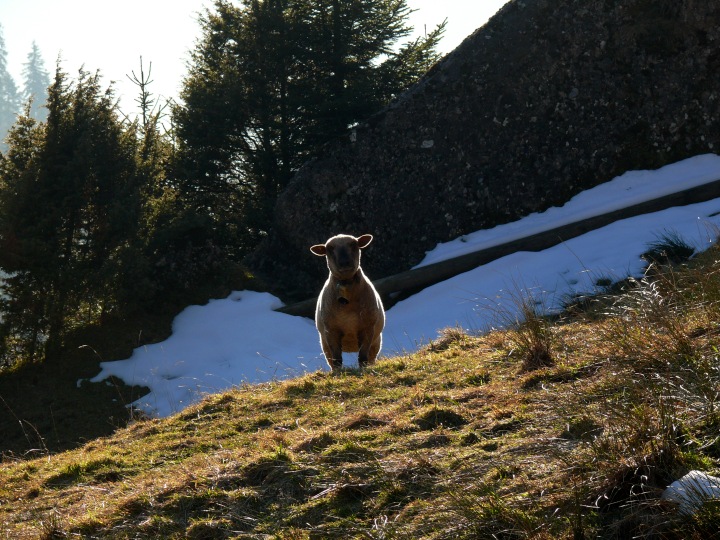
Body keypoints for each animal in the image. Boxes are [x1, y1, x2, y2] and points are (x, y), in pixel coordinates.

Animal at [310, 233, 386, 372]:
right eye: (329, 248)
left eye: (354, 244)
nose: (344, 262)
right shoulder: (331, 331)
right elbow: (337, 360)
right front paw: (338, 373)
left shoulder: (367, 329)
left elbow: (363, 357)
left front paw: (363, 370)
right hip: (324, 344)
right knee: (331, 361)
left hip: (376, 342)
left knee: (371, 358)